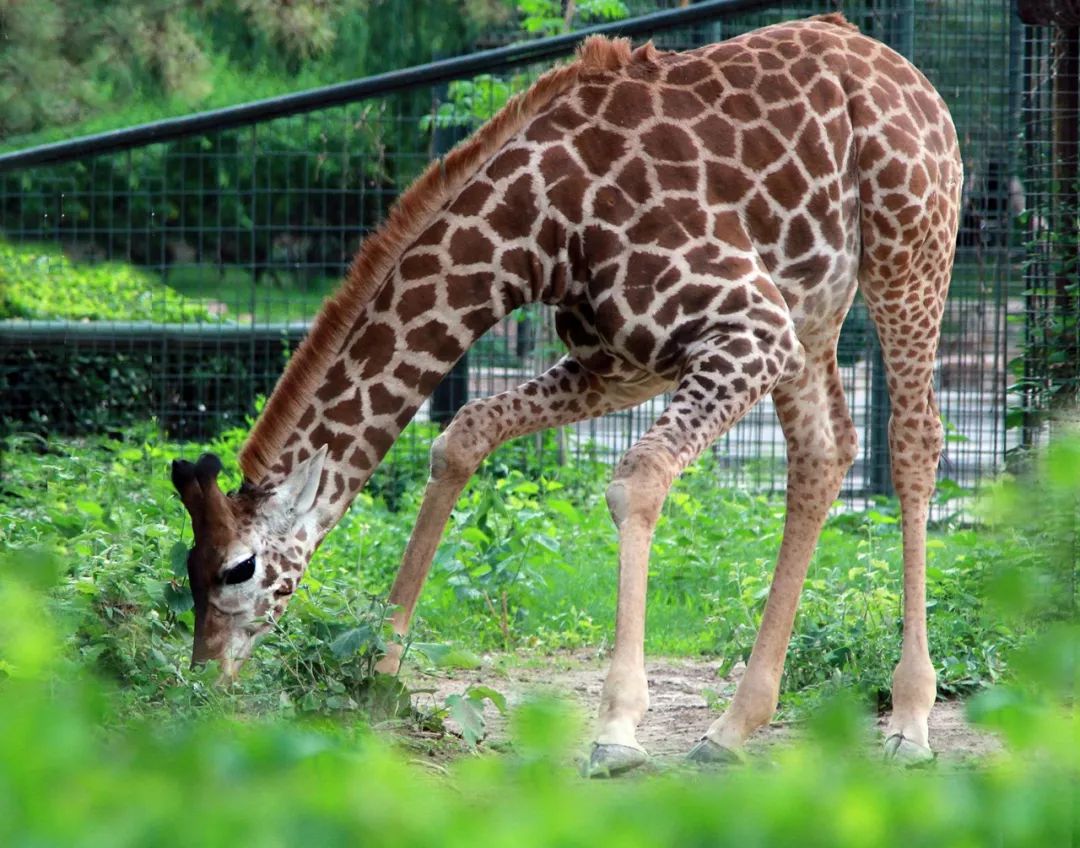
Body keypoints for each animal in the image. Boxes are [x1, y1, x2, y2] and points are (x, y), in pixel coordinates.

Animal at [172, 16, 967, 773]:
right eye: (189, 569)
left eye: (237, 568)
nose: (205, 680)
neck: (535, 230)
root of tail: (902, 69)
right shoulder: (616, 363)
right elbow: (464, 431)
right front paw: (378, 673)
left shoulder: (751, 327)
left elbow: (636, 479)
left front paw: (615, 731)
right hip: (814, 305)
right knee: (824, 453)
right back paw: (733, 727)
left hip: (907, 252)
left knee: (913, 443)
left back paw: (910, 720)